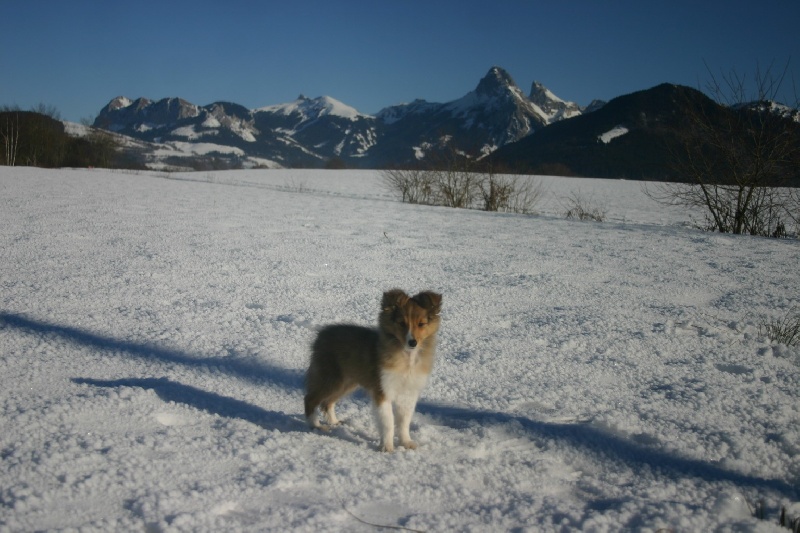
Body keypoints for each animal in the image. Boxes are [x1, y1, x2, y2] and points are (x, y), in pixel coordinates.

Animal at [306, 288, 444, 450]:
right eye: (402, 323)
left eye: (421, 324)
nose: (413, 342)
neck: (406, 358)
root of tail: (322, 334)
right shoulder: (383, 390)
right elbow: (388, 422)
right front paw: (387, 448)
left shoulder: (408, 393)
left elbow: (404, 421)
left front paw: (406, 443)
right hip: (331, 379)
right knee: (310, 399)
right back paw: (316, 426)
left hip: (346, 382)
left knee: (327, 403)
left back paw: (334, 422)